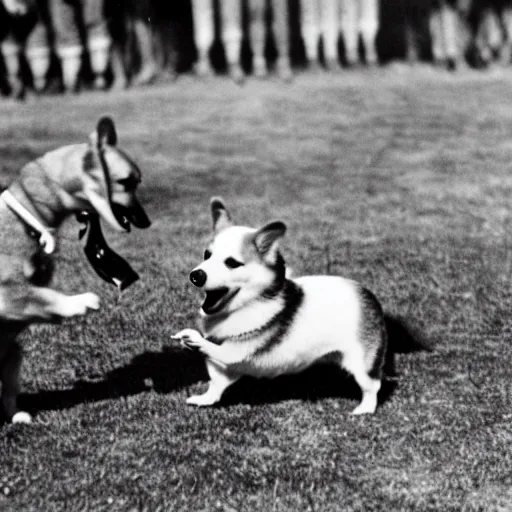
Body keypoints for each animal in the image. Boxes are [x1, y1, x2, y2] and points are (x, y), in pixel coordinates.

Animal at [0, 117, 151, 424]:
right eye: (125, 182)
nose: (146, 221)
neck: (29, 217)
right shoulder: (6, 295)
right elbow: (42, 296)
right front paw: (79, 302)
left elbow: (38, 291)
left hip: (14, 356)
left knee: (7, 394)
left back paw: (18, 415)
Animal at [173, 198, 388, 414]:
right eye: (206, 255)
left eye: (232, 263)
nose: (196, 275)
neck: (244, 307)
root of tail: (366, 293)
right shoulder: (226, 368)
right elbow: (216, 385)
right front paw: (204, 398)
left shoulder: (234, 353)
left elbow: (211, 347)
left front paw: (192, 337)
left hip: (360, 364)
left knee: (372, 387)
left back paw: (365, 409)